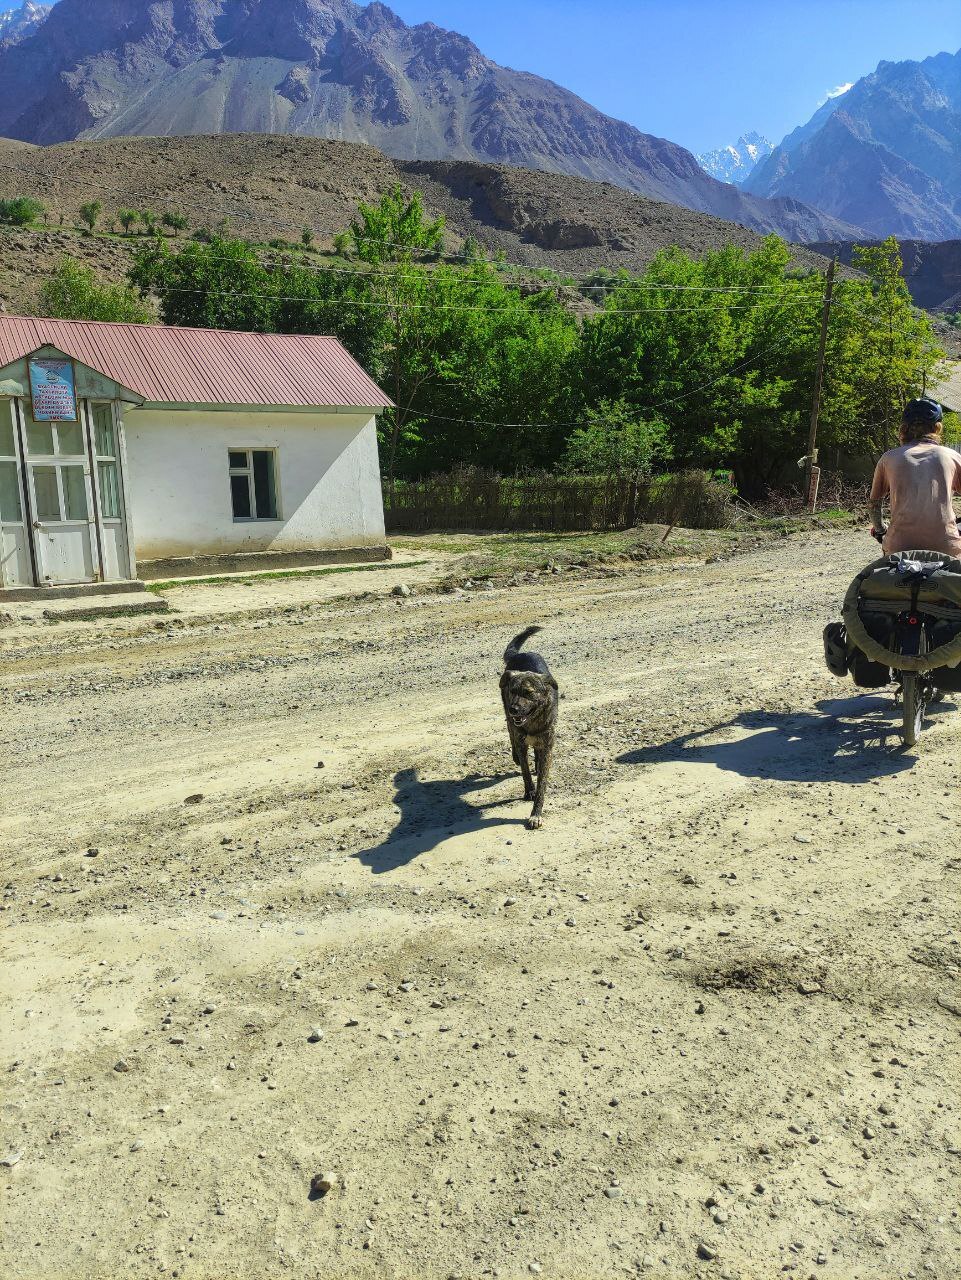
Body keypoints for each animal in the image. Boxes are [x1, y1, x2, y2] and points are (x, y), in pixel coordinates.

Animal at [499, 627, 560, 829]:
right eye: (513, 691)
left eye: (528, 693)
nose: (514, 709)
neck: (532, 722)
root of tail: (521, 654)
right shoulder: (521, 741)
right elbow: (525, 772)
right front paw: (529, 791)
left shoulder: (547, 746)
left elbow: (542, 783)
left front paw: (536, 813)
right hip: (507, 715)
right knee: (510, 731)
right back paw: (516, 757)